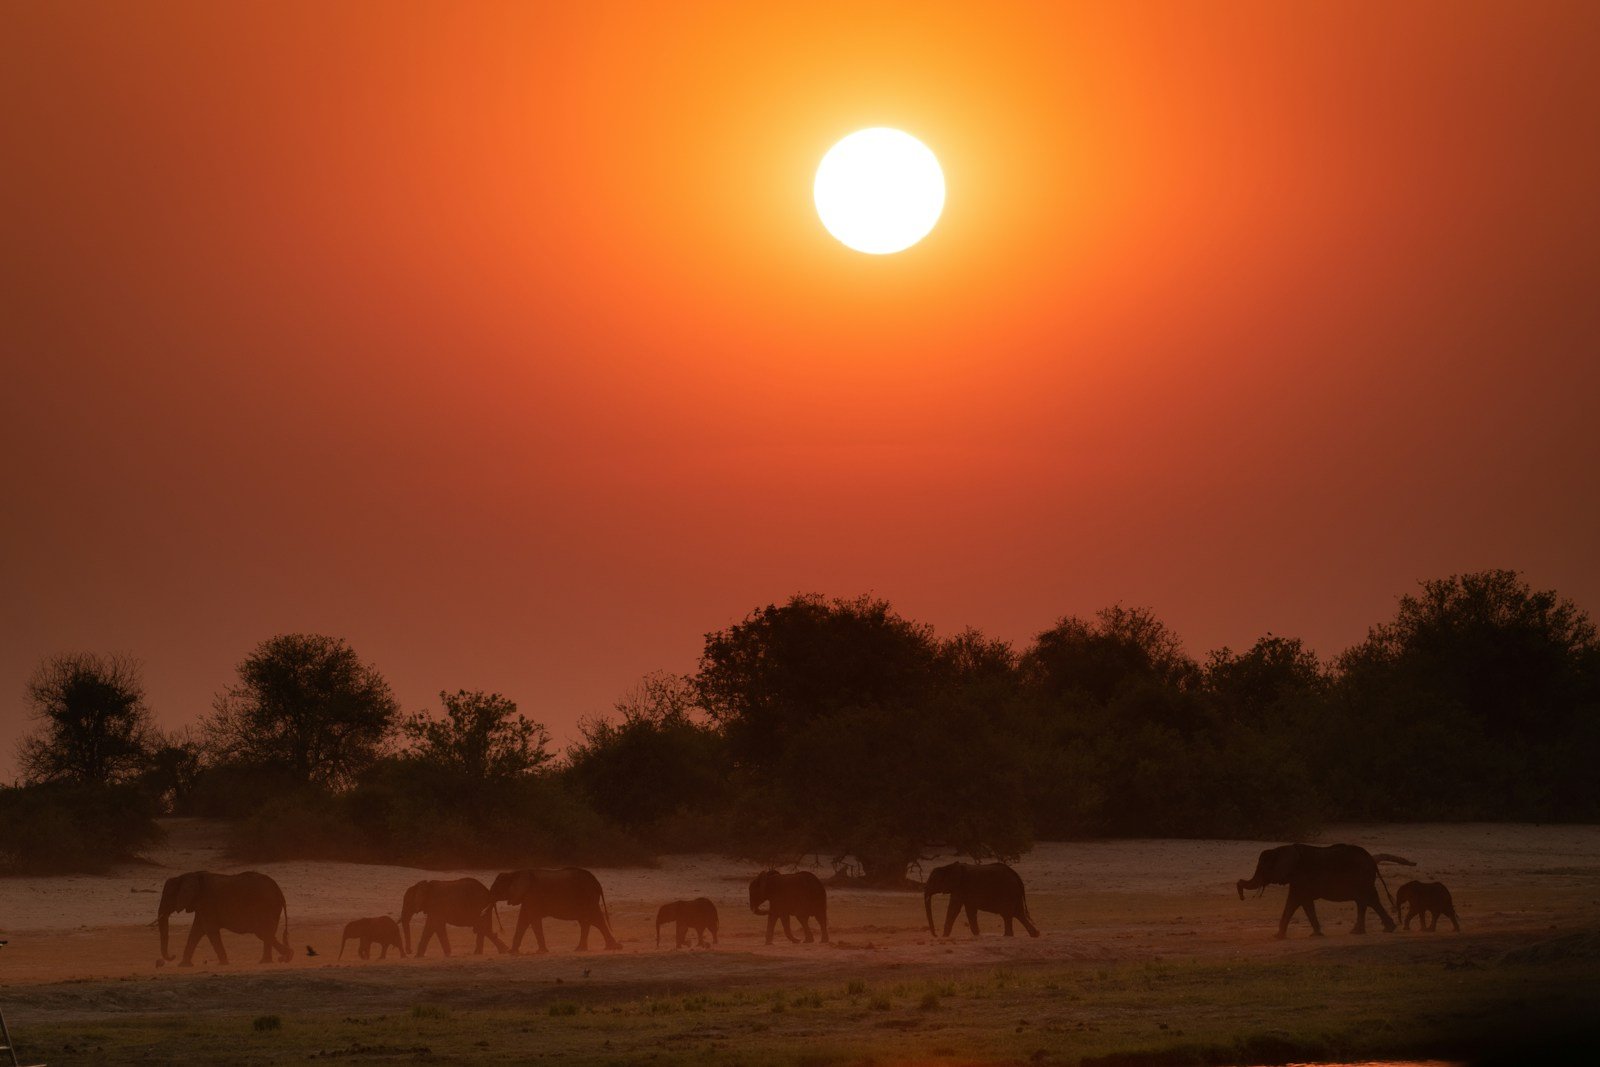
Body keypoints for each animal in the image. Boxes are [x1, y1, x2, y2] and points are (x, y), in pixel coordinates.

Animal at [156, 870, 291, 966]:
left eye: (169, 896)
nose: (173, 956)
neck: (185, 876)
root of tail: (279, 892)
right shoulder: (202, 906)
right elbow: (196, 930)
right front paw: (183, 965)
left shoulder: (207, 902)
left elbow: (209, 929)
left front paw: (223, 963)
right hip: (272, 907)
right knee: (266, 932)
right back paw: (269, 960)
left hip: (267, 906)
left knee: (262, 932)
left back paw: (287, 956)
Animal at [486, 868, 620, 952]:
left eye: (497, 888)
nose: (501, 930)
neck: (514, 873)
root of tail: (597, 883)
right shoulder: (527, 898)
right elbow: (523, 920)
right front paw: (512, 952)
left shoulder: (532, 896)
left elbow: (533, 920)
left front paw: (541, 952)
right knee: (592, 921)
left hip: (587, 897)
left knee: (592, 920)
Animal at [1236, 843, 1415, 938]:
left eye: (1263, 868)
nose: (1242, 898)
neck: (1282, 848)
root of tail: (1372, 860)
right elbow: (1301, 902)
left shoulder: (1301, 877)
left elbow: (1297, 901)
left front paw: (1279, 937)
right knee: (1366, 901)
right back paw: (1370, 931)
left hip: (1362, 878)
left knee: (1367, 900)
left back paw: (1372, 931)